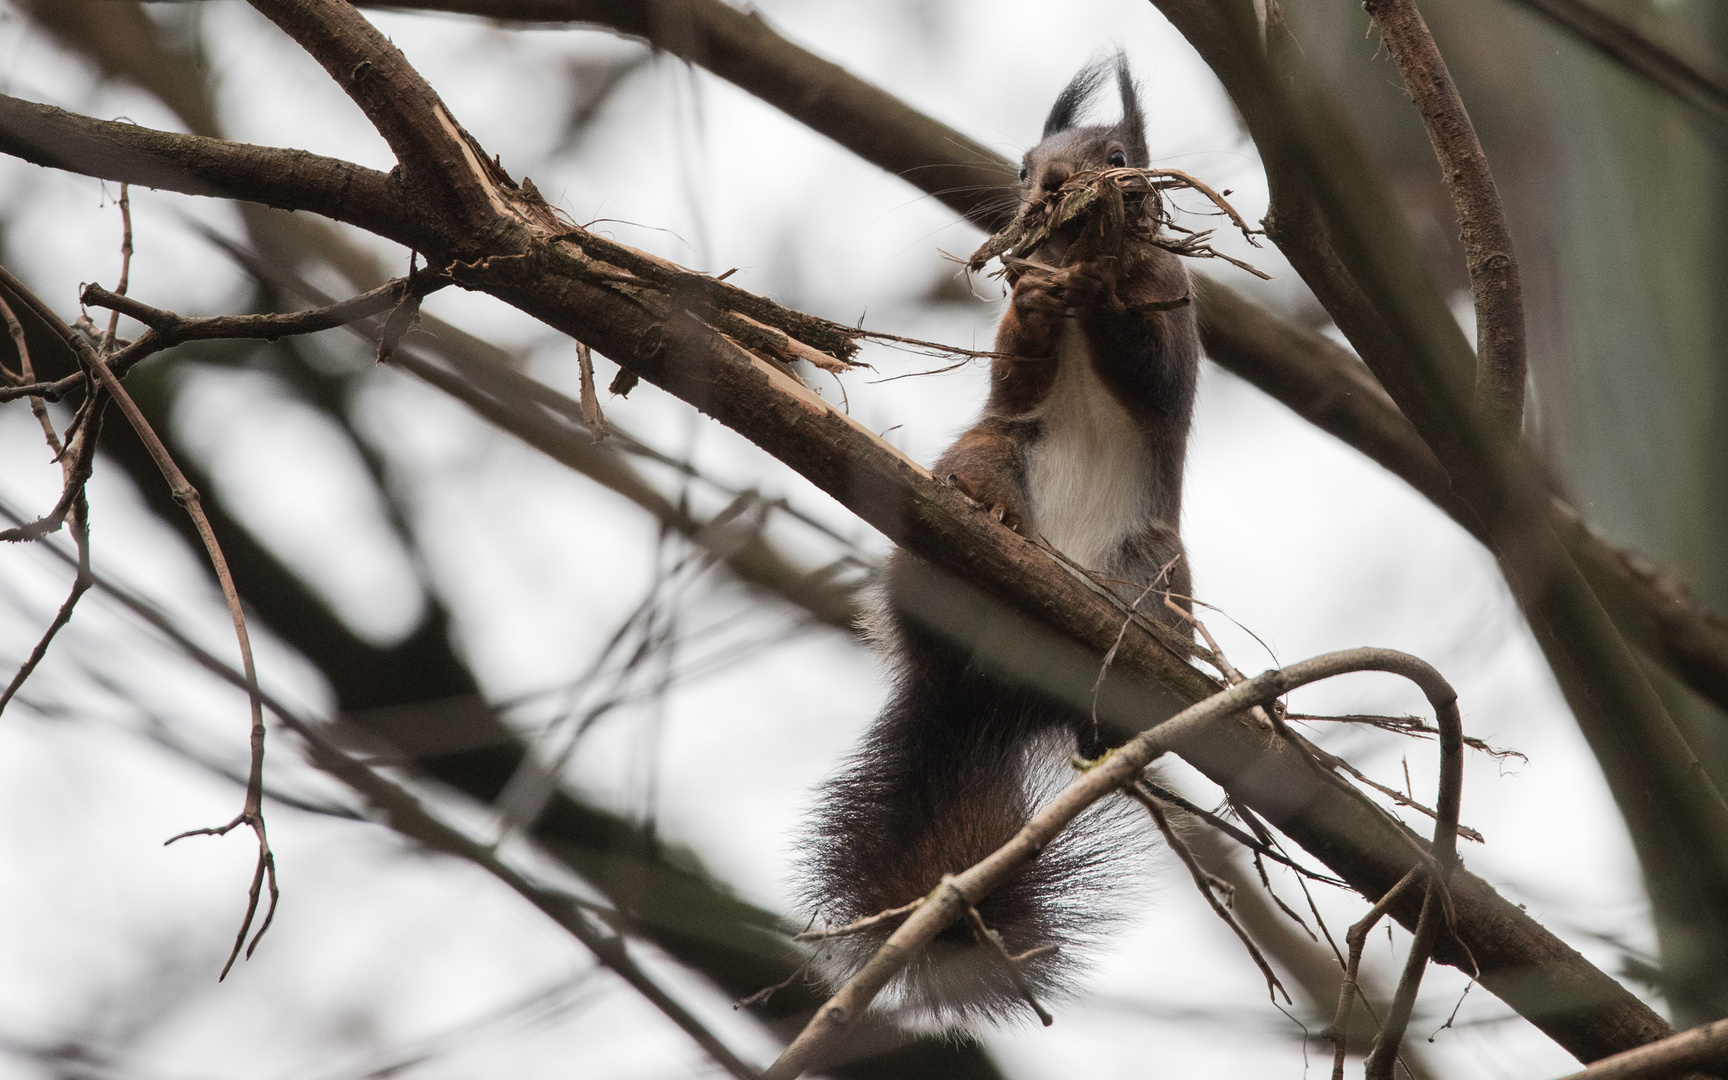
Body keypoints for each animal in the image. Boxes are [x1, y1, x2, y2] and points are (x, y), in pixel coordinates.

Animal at [798, 52, 1195, 1029]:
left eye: (1119, 157)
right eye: (1022, 166)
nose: (1052, 187)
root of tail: (979, 699)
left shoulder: (1177, 306)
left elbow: (1154, 365)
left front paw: (1102, 292)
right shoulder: (1013, 366)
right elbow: (1017, 364)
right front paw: (1045, 308)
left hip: (1155, 560)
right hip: (987, 458)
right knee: (974, 484)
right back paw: (987, 527)